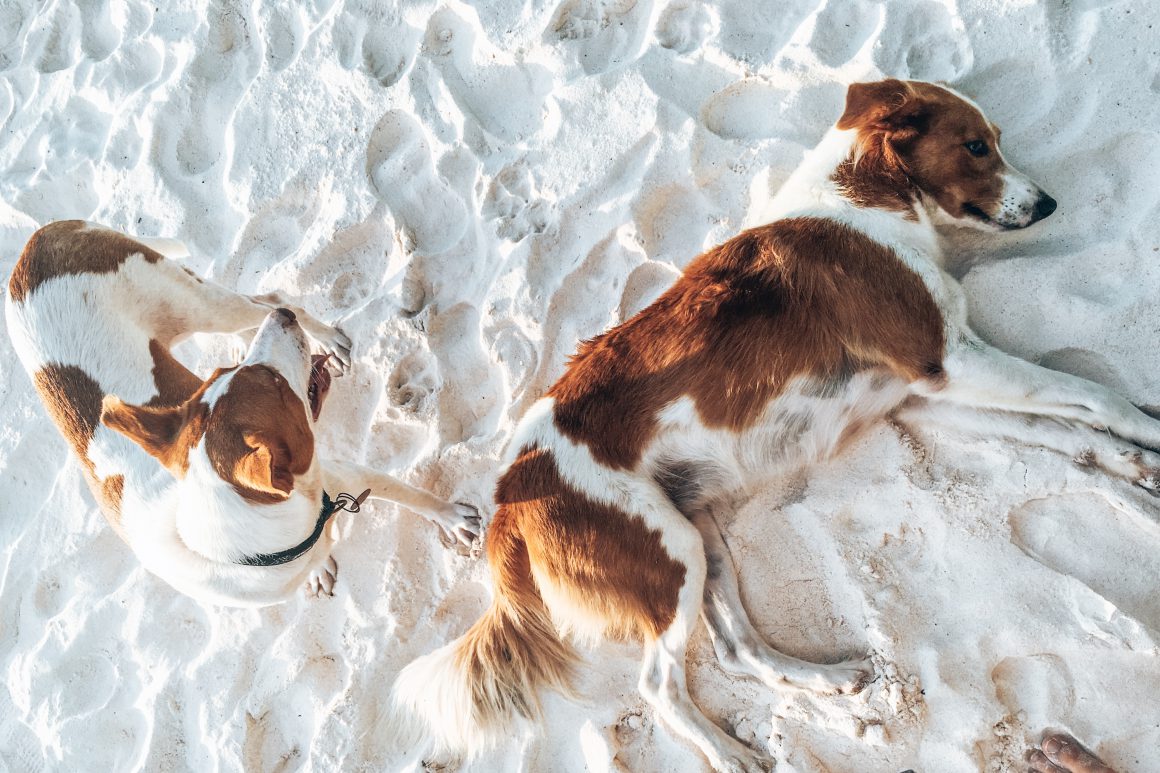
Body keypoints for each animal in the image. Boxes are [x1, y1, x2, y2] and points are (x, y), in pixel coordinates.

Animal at [4, 219, 480, 603]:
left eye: (231, 375)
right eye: (274, 383)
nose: (285, 321)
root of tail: (35, 241)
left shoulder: (346, 474)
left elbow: (413, 495)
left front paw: (453, 519)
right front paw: (319, 569)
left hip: (200, 304)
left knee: (266, 299)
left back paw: (319, 332)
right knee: (259, 309)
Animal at [387, 79, 1160, 770]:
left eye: (995, 140)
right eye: (976, 146)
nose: (1049, 203)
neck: (864, 199)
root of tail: (507, 499)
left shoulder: (920, 394)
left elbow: (1068, 428)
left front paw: (1135, 466)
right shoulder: (951, 360)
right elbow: (1094, 395)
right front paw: (1147, 434)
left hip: (694, 534)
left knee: (738, 650)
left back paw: (828, 679)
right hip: (669, 552)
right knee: (659, 685)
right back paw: (728, 755)